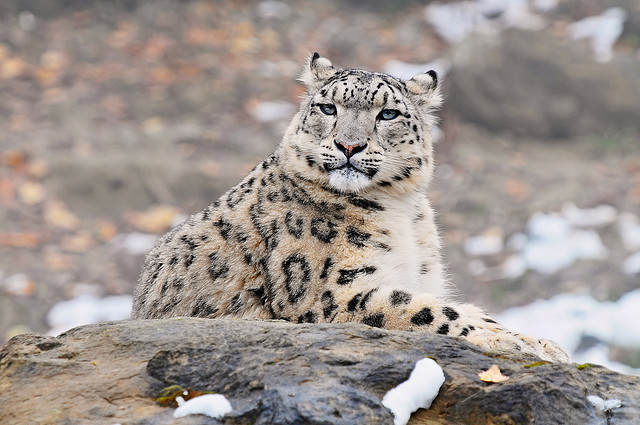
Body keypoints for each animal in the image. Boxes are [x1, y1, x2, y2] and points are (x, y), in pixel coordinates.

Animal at [132, 53, 570, 363]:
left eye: (388, 113)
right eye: (328, 108)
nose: (349, 145)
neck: (400, 211)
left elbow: (460, 308)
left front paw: (541, 342)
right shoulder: (331, 295)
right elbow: (430, 311)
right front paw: (517, 343)